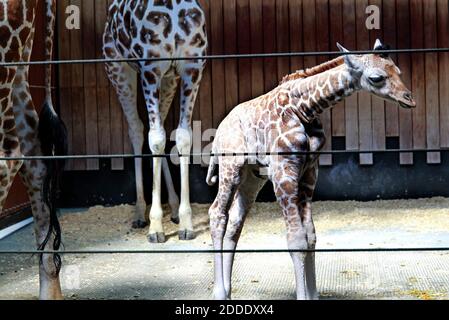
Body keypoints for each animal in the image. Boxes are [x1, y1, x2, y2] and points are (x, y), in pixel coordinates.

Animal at [103, 0, 206, 242]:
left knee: (159, 129)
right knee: (137, 129)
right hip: (118, 68)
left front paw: (186, 223)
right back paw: (140, 213)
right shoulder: (150, 68)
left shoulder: (192, 67)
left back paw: (174, 207)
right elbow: (156, 138)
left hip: (168, 78)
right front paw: (156, 227)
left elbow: (182, 137)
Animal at [206, 40, 416, 300]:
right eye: (377, 77)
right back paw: (219, 292)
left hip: (252, 177)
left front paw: (313, 294)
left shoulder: (309, 171)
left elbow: (311, 236)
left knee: (235, 221)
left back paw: (228, 291)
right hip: (231, 167)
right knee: (217, 214)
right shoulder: (283, 170)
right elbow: (296, 239)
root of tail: (219, 133)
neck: (304, 108)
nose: (409, 99)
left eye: (398, 70)